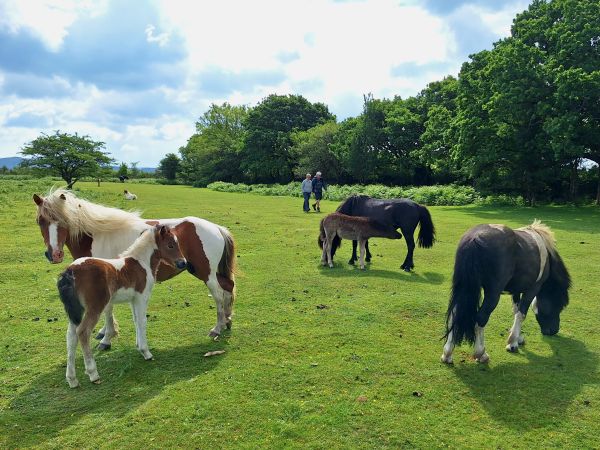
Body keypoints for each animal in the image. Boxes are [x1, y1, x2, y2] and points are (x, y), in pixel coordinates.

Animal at [31, 186, 236, 344]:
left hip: (206, 273)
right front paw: (104, 332)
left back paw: (217, 328)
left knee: (218, 295)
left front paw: (108, 337)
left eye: (63, 220)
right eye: (40, 221)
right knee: (228, 287)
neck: (97, 234)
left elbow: (108, 310)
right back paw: (227, 321)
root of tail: (216, 228)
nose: (54, 254)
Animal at [59, 225, 186, 386]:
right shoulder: (142, 297)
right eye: (170, 245)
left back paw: (72, 379)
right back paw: (93, 373)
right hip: (94, 307)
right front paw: (146, 352)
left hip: (77, 310)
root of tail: (70, 271)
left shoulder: (133, 299)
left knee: (71, 336)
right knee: (82, 332)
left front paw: (139, 347)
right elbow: (142, 321)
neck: (141, 262)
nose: (183, 263)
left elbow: (136, 321)